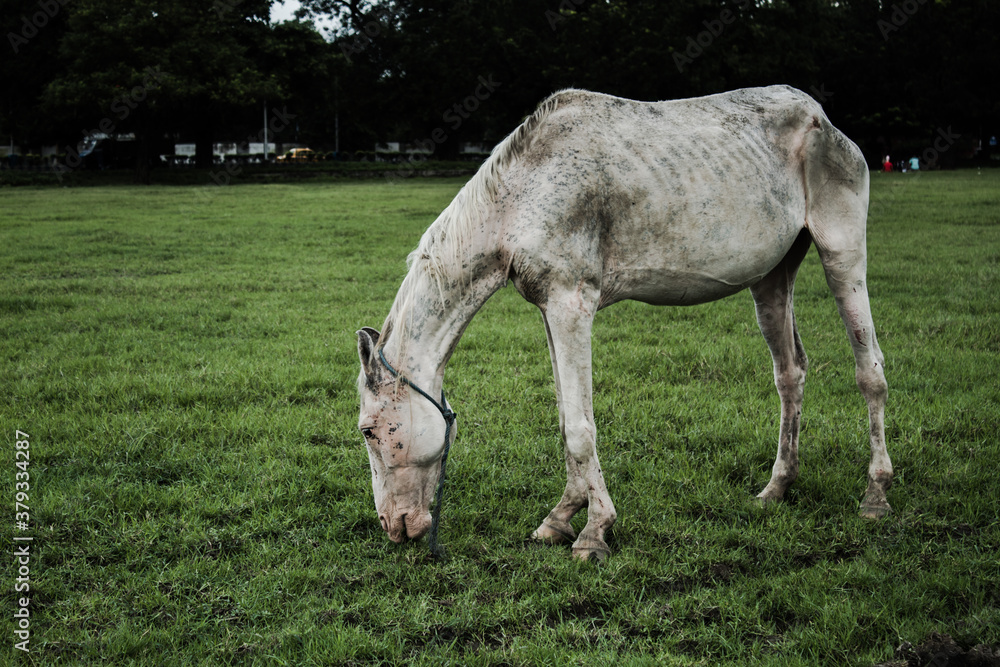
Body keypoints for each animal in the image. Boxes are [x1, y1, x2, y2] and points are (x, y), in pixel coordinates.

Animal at [356, 85, 892, 561]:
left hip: (842, 252)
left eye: (368, 431)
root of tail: (823, 119)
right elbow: (565, 417)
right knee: (790, 373)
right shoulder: (550, 308)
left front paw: (594, 531)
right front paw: (560, 517)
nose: (393, 526)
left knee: (870, 372)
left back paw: (876, 495)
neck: (521, 195)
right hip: (772, 276)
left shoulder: (572, 303)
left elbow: (579, 426)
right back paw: (777, 487)